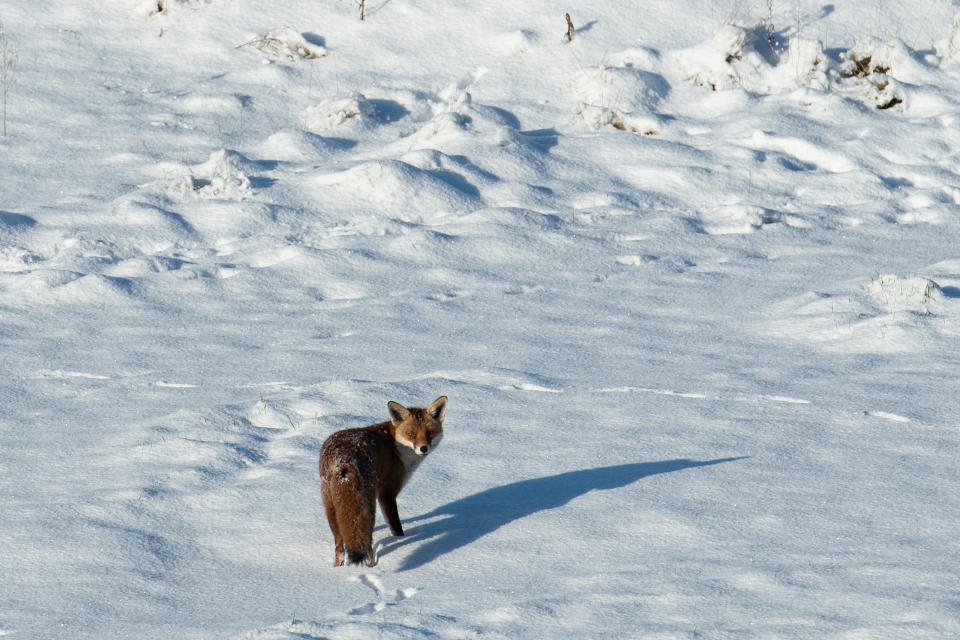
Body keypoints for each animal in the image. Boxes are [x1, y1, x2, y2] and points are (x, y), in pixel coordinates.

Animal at [316, 398, 448, 568]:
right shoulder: (387, 493)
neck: (396, 445)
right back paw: (371, 564)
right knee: (366, 538)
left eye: (430, 433)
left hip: (330, 505)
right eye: (411, 434)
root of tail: (343, 459)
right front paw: (401, 539)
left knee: (339, 545)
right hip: (368, 504)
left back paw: (338, 567)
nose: (423, 448)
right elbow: (396, 527)